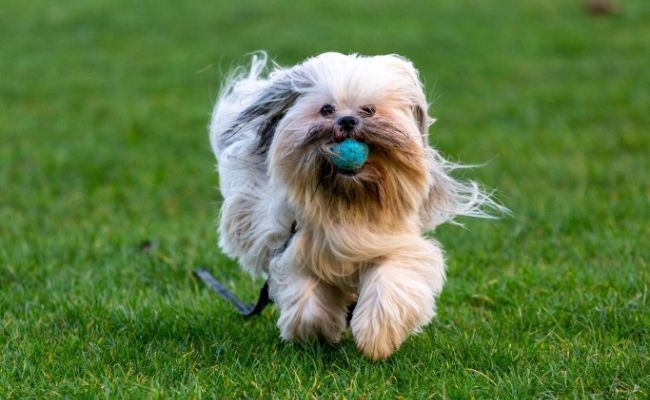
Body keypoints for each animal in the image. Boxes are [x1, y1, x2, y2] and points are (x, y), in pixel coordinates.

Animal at [208, 51, 502, 360]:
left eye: (369, 110)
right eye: (326, 110)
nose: (347, 120)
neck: (350, 199)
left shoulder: (396, 247)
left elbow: (390, 283)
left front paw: (376, 337)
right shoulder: (297, 251)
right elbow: (306, 303)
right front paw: (319, 333)